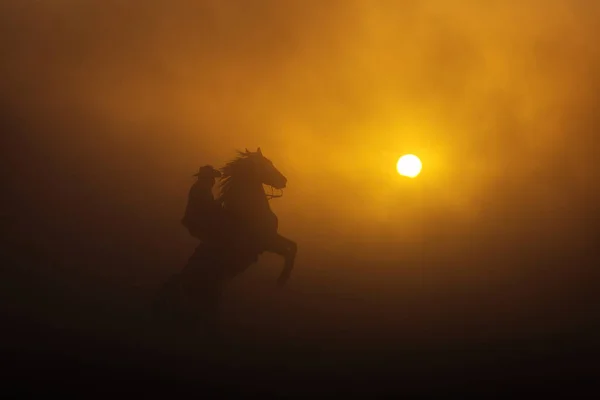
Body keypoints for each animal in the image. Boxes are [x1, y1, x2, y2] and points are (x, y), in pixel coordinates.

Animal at [218, 148, 298, 286]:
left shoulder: (273, 236)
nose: (284, 180)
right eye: (267, 165)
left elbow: (293, 246)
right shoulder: (267, 243)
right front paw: (281, 279)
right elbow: (288, 251)